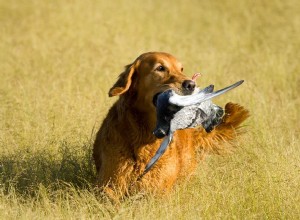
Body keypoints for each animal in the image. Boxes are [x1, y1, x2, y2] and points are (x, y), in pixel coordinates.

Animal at [92, 51, 250, 198]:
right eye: (160, 68)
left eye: (181, 69)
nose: (191, 84)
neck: (145, 137)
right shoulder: (107, 184)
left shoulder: (158, 190)